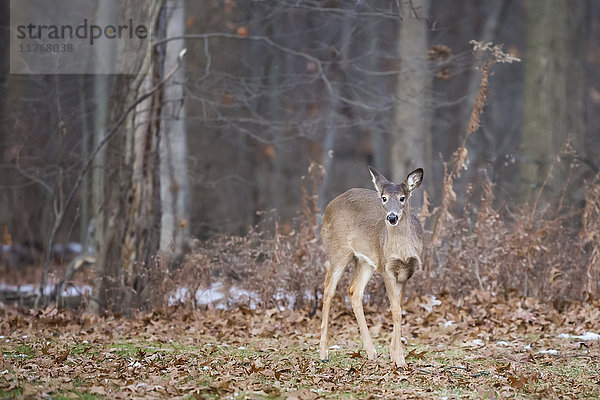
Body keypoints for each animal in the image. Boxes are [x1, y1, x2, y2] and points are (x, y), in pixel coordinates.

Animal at [322, 166, 424, 368]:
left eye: (402, 198)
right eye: (384, 198)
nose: (392, 217)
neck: (402, 250)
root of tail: (329, 206)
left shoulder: (406, 272)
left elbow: (398, 308)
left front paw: (393, 354)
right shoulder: (386, 267)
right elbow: (396, 312)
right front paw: (400, 359)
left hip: (366, 260)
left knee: (354, 290)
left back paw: (371, 352)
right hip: (338, 250)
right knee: (328, 289)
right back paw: (323, 352)